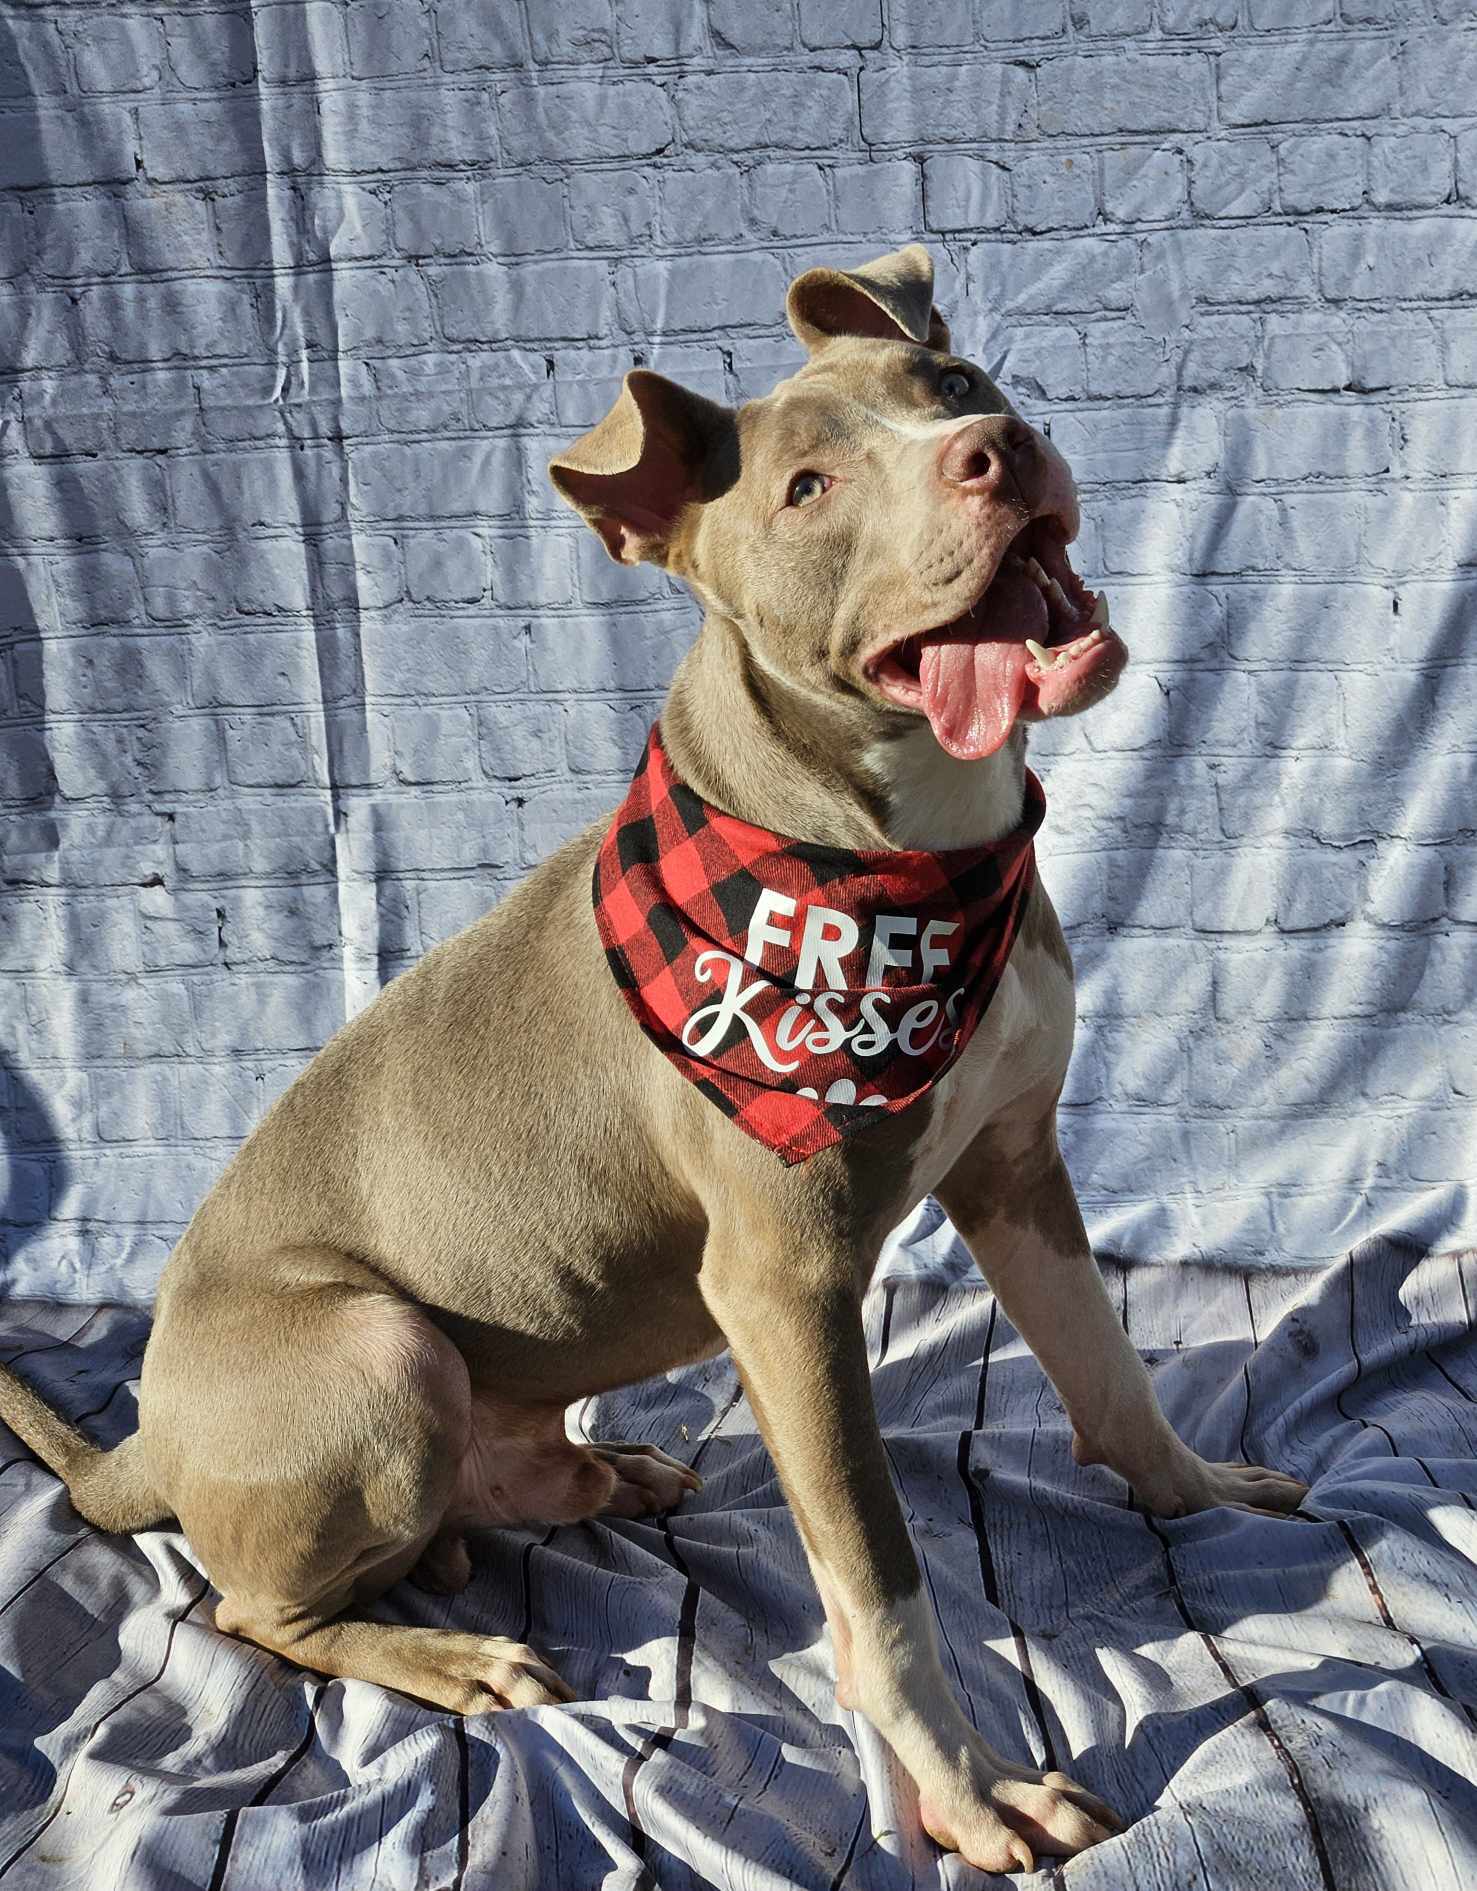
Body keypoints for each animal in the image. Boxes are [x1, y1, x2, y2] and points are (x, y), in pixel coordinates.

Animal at [0, 247, 1301, 1875]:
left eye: (950, 381)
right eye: (808, 487)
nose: (993, 450)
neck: (900, 855)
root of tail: (149, 1437)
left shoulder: (1016, 1169)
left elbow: (1111, 1366)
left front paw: (1198, 1490)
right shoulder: (785, 1288)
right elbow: (878, 1581)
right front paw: (968, 1790)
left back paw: (588, 1472)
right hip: (376, 1354)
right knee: (253, 1608)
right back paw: (447, 1655)